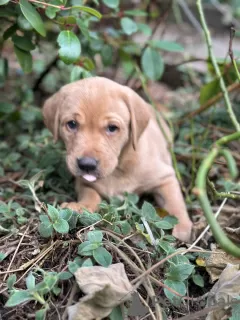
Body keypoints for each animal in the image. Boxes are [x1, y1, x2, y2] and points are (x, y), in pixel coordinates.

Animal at [42, 77, 193, 241]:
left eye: (112, 128)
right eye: (72, 124)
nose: (86, 165)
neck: (118, 168)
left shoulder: (165, 177)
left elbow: (174, 201)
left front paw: (182, 226)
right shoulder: (83, 182)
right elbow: (90, 194)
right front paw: (81, 206)